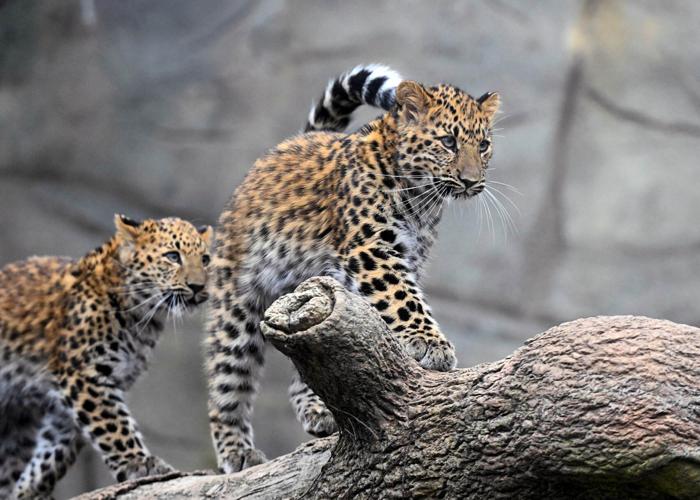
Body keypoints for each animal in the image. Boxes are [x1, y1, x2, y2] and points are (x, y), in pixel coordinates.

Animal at [0, 215, 212, 499]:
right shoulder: (83, 374)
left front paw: (27, 490)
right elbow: (114, 425)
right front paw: (141, 464)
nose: (198, 287)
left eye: (205, 260)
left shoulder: (71, 399)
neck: (141, 317)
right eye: (172, 256)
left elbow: (54, 454)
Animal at [205, 64, 501, 472]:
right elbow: (403, 299)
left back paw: (318, 410)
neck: (421, 200)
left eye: (483, 145)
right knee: (227, 377)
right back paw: (236, 450)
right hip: (236, 299)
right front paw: (431, 344)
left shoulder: (406, 257)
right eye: (448, 141)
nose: (472, 182)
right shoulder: (372, 248)